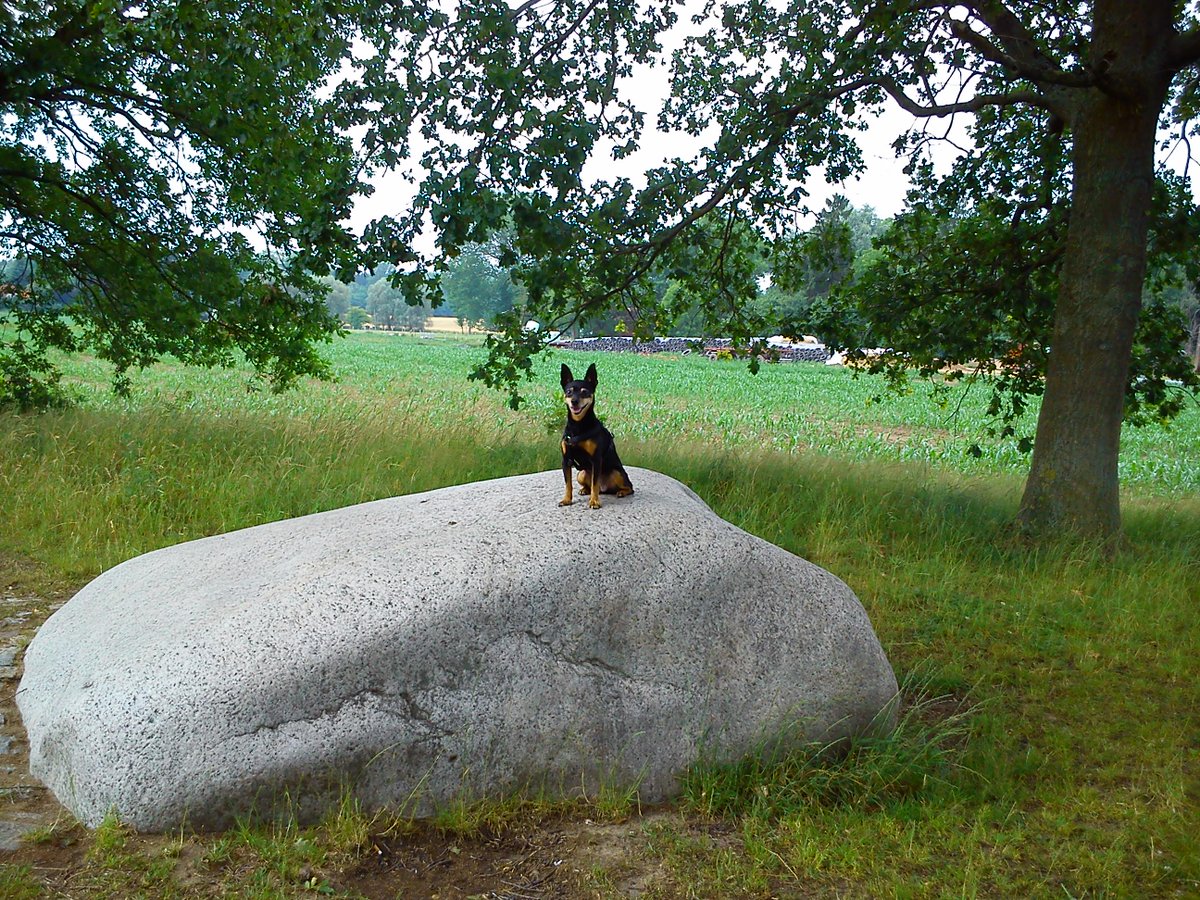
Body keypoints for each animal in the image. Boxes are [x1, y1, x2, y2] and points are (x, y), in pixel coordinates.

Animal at [556, 362, 633, 511]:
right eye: (569, 392)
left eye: (584, 392)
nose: (574, 401)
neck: (578, 426)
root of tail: (605, 489)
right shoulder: (566, 460)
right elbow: (568, 484)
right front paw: (567, 500)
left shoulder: (596, 460)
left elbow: (595, 484)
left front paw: (594, 502)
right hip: (581, 474)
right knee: (590, 485)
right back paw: (585, 490)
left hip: (617, 472)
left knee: (629, 487)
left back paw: (621, 492)